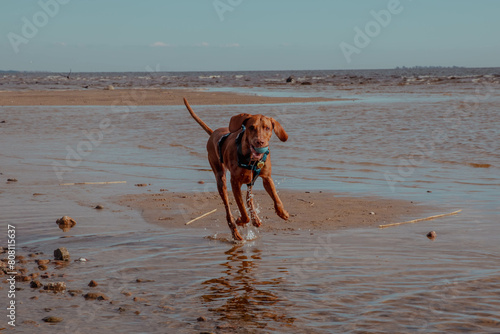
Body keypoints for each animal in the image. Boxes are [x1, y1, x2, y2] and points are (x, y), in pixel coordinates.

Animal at [185, 97, 292, 240]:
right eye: (251, 127)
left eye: (267, 128)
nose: (260, 142)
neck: (251, 160)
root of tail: (213, 133)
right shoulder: (235, 182)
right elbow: (242, 210)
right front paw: (241, 220)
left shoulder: (267, 178)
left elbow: (276, 197)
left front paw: (282, 212)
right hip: (221, 179)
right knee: (228, 210)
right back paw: (235, 231)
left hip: (250, 180)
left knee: (249, 198)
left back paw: (255, 219)